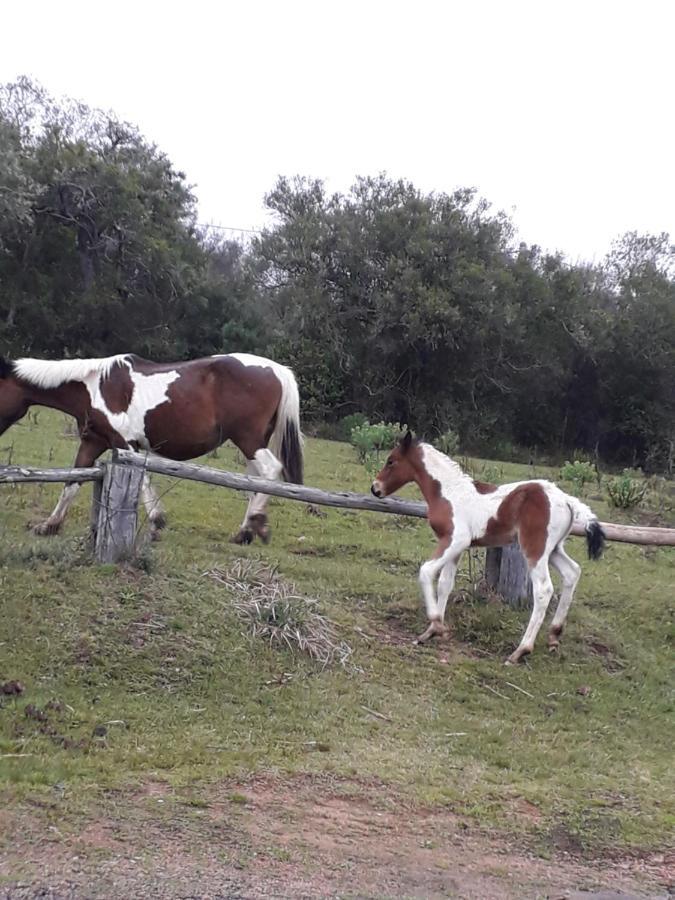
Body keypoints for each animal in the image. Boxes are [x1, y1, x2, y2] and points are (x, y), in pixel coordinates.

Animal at [0, 354, 302, 544]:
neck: (94, 387)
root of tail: (278, 370)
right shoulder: (93, 442)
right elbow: (71, 483)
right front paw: (49, 525)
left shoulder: (124, 444)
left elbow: (143, 480)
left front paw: (157, 522)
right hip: (252, 441)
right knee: (254, 481)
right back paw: (246, 531)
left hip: (248, 438)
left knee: (270, 471)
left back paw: (255, 525)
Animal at [372, 432, 604, 664]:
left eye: (391, 461)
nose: (375, 488)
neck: (449, 492)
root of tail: (567, 500)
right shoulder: (456, 547)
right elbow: (445, 584)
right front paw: (430, 632)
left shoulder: (456, 539)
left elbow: (426, 571)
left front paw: (437, 625)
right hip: (553, 549)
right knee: (572, 572)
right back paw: (554, 636)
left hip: (534, 548)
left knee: (543, 589)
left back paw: (520, 651)